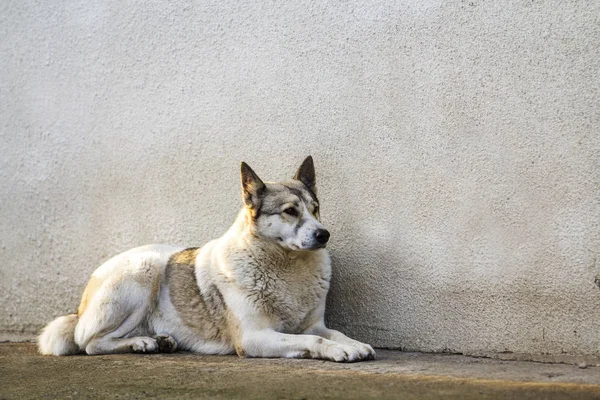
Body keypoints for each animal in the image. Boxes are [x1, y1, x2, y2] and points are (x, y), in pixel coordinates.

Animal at [37, 157, 376, 362]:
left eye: (315, 209)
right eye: (290, 211)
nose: (324, 234)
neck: (287, 266)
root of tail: (80, 308)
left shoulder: (314, 325)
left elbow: (333, 333)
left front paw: (353, 343)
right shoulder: (254, 337)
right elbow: (314, 342)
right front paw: (338, 350)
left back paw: (158, 340)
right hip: (144, 270)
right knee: (90, 343)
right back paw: (141, 343)